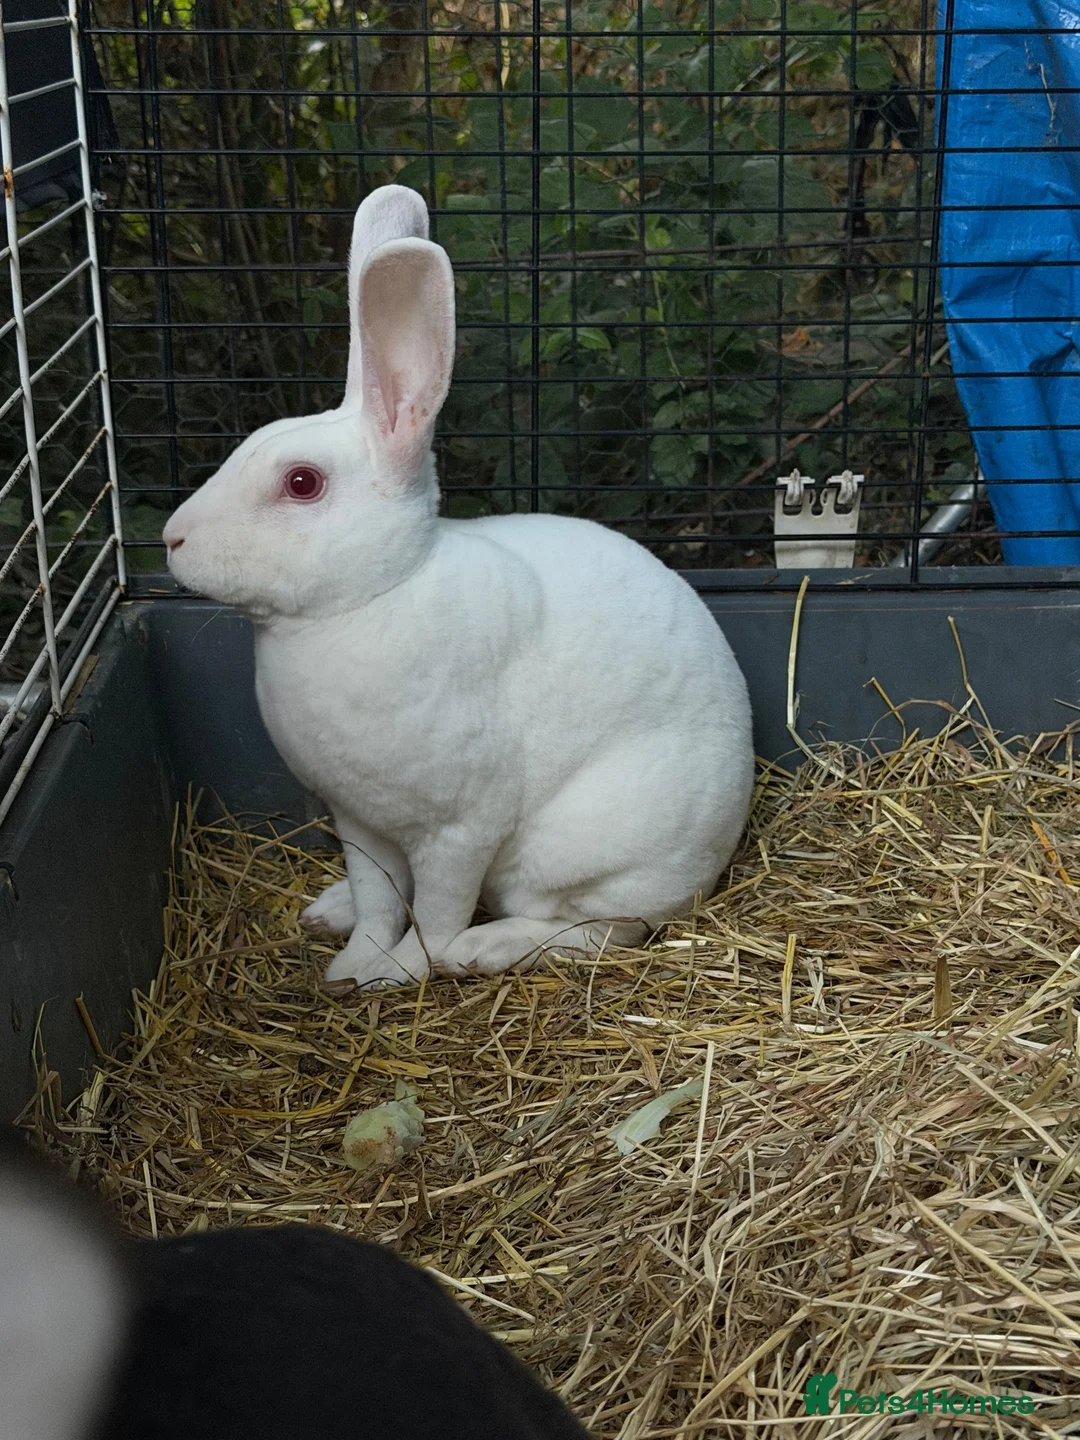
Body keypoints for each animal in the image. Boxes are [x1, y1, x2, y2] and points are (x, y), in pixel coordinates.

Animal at [162, 184, 754, 992]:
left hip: (586, 855)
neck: (373, 598)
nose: (171, 540)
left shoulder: (459, 831)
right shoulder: (360, 824)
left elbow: (436, 912)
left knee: (597, 930)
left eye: (302, 483)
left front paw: (407, 969)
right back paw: (330, 911)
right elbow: (381, 897)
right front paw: (354, 965)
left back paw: (486, 948)